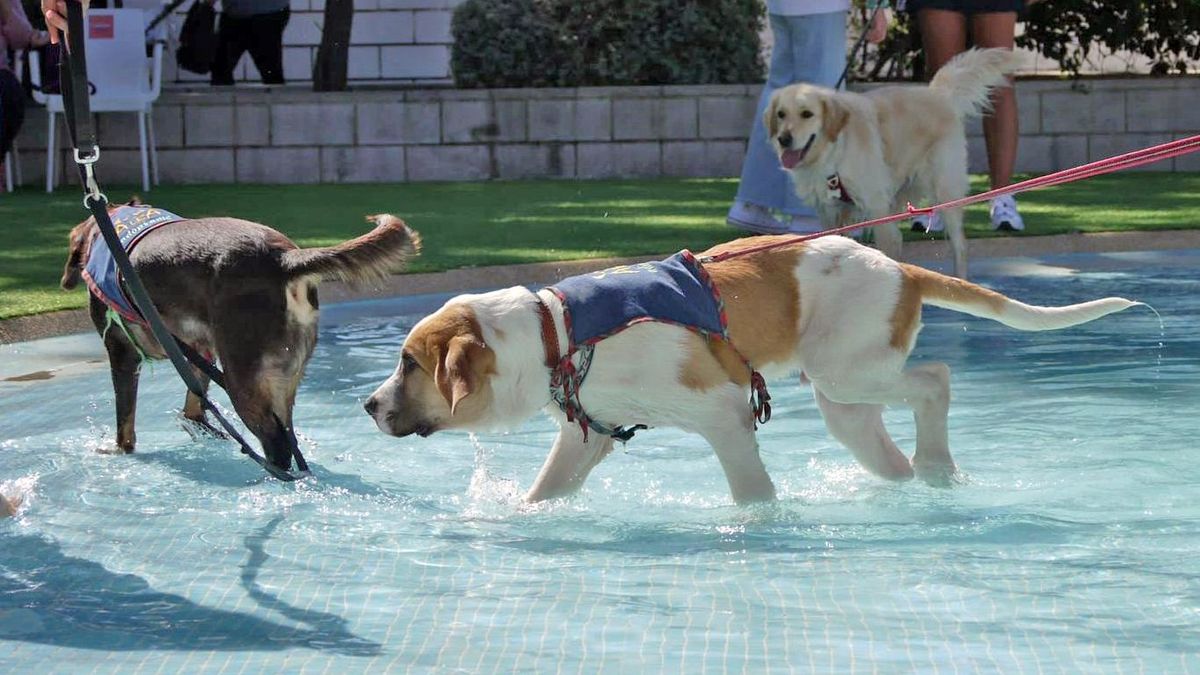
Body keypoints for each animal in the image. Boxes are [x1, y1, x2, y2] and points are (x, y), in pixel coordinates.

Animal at [64, 199, 422, 470]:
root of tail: (283, 260)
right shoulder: (200, 349)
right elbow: (194, 406)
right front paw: (201, 428)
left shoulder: (121, 351)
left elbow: (125, 422)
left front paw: (119, 450)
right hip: (281, 381)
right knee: (288, 439)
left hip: (243, 379)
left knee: (276, 446)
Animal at [364, 236, 1132, 504]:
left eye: (408, 363)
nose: (368, 405)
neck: (559, 332)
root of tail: (900, 265)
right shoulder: (589, 435)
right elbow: (546, 490)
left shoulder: (724, 413)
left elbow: (751, 492)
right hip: (844, 401)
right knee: (889, 445)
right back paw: (917, 480)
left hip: (848, 371)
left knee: (936, 379)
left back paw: (939, 465)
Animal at [768, 48, 1022, 277]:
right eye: (781, 114)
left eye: (807, 114)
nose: (784, 139)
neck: (835, 150)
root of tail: (937, 94)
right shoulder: (832, 212)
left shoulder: (876, 208)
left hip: (944, 191)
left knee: (959, 245)